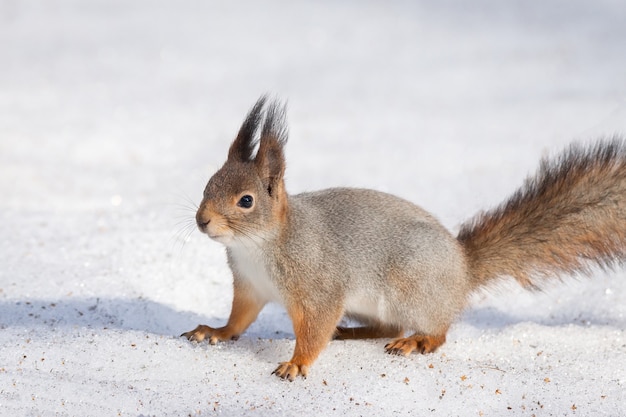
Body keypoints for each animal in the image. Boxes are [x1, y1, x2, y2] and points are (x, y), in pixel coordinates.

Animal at [178, 95, 620, 380]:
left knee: (435, 330)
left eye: (246, 201)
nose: (202, 220)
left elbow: (315, 327)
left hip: (412, 288)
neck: (257, 247)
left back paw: (417, 341)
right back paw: (353, 332)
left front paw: (298, 362)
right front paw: (216, 332)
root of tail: (462, 269)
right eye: (207, 185)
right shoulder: (250, 286)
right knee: (387, 328)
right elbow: (239, 318)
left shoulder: (318, 286)